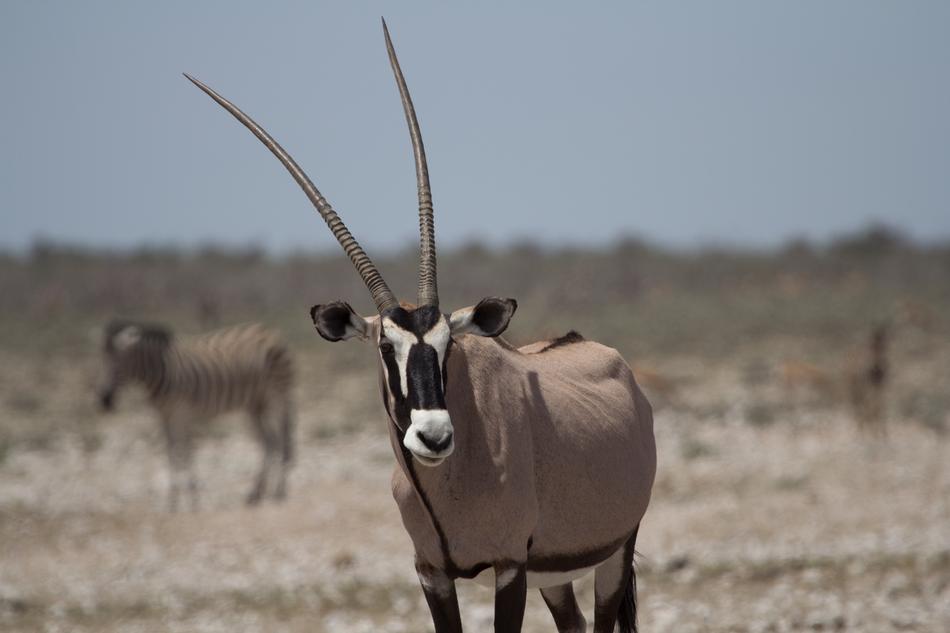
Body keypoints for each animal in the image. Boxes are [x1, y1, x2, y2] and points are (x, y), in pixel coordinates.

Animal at [187, 20, 656, 632]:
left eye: (448, 344)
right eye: (386, 346)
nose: (434, 436)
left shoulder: (509, 566)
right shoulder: (432, 573)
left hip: (614, 553)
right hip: (557, 574)